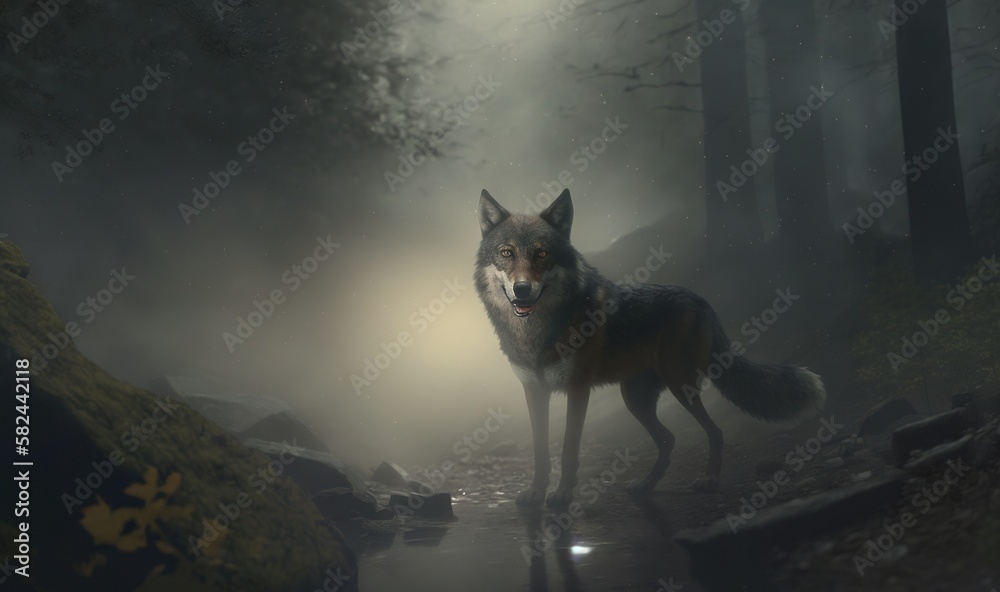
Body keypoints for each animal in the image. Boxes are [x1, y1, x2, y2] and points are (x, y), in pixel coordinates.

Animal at [474, 188, 826, 507]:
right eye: (506, 253)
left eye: (542, 254)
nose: (522, 289)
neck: (535, 333)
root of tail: (701, 301)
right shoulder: (534, 392)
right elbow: (540, 449)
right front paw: (536, 492)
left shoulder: (578, 389)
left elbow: (568, 449)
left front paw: (562, 495)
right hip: (636, 398)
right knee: (669, 439)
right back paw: (646, 486)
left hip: (679, 385)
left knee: (714, 431)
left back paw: (709, 480)